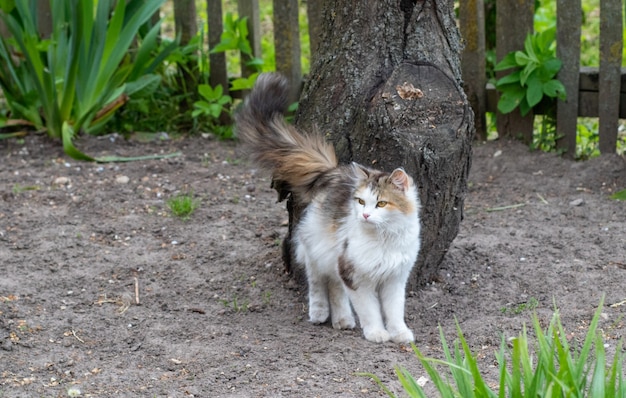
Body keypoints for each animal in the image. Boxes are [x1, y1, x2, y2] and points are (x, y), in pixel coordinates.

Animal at [236, 73, 422, 344]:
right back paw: (320, 312)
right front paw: (377, 333)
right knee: (317, 280)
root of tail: (333, 172)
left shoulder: (395, 278)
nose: (365, 215)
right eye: (361, 202)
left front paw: (399, 334)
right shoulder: (355, 275)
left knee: (334, 287)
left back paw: (342, 319)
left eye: (381, 203)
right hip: (316, 245)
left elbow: (394, 310)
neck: (384, 238)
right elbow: (370, 310)